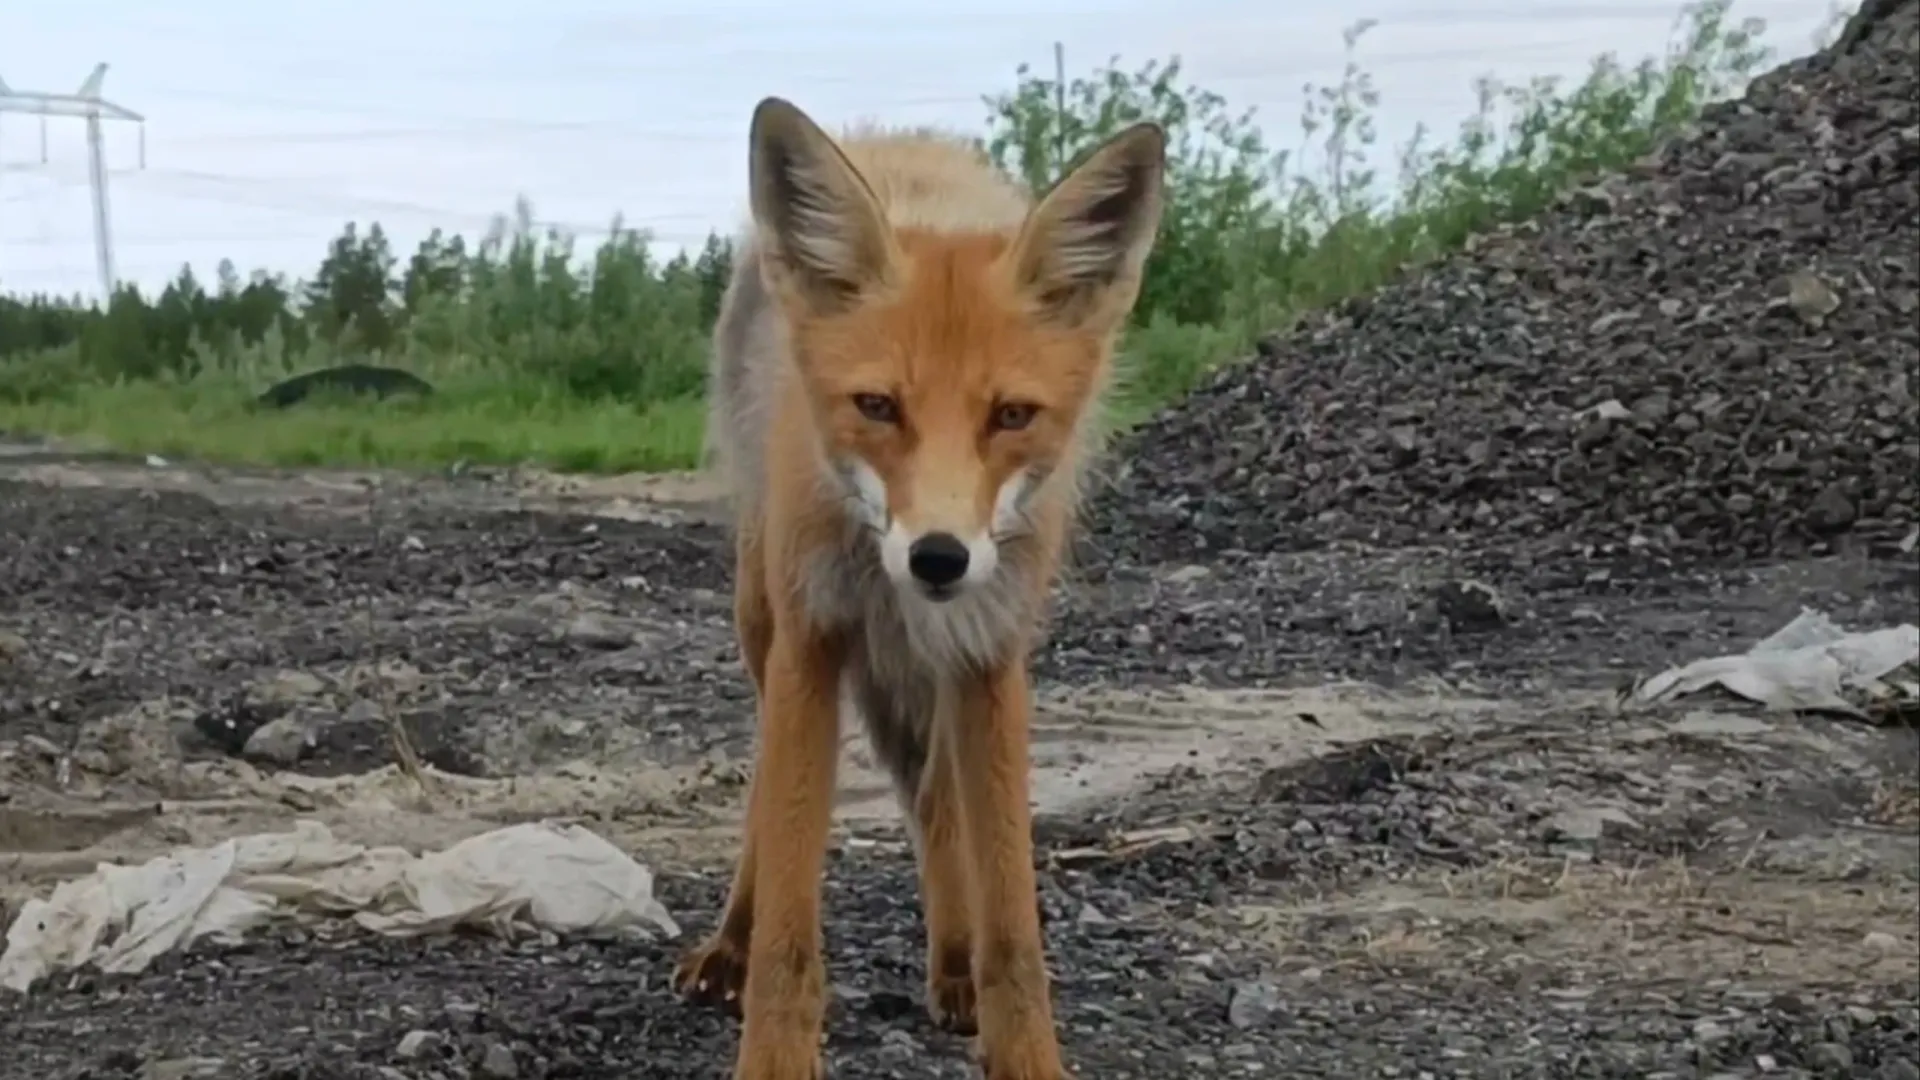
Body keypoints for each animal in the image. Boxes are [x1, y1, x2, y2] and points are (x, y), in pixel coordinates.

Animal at [687, 94, 1167, 1076]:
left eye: (1013, 416)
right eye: (877, 407)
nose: (939, 558)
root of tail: (894, 136)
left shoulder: (991, 655)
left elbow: (1014, 930)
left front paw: (1023, 1051)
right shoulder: (813, 640)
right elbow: (791, 930)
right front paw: (772, 1049)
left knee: (936, 798)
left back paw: (952, 963)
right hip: (765, 625)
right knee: (765, 800)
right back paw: (732, 943)